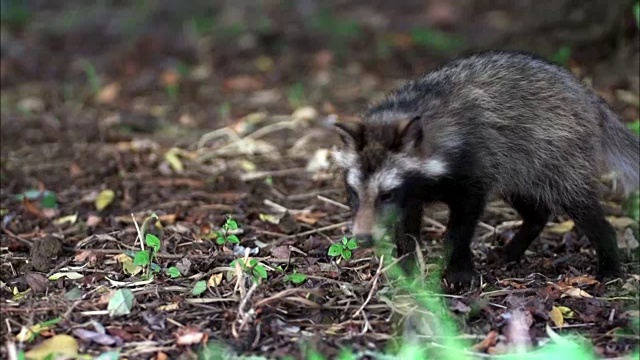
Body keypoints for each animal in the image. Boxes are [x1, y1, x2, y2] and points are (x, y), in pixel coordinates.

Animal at [332, 50, 636, 286]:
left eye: (386, 195)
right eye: (354, 193)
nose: (362, 239)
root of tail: (586, 94)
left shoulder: (472, 167)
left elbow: (462, 223)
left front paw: (458, 266)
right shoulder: (413, 192)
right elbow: (406, 226)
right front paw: (408, 265)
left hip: (560, 151)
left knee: (579, 203)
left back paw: (608, 256)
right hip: (521, 164)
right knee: (535, 208)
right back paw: (518, 243)